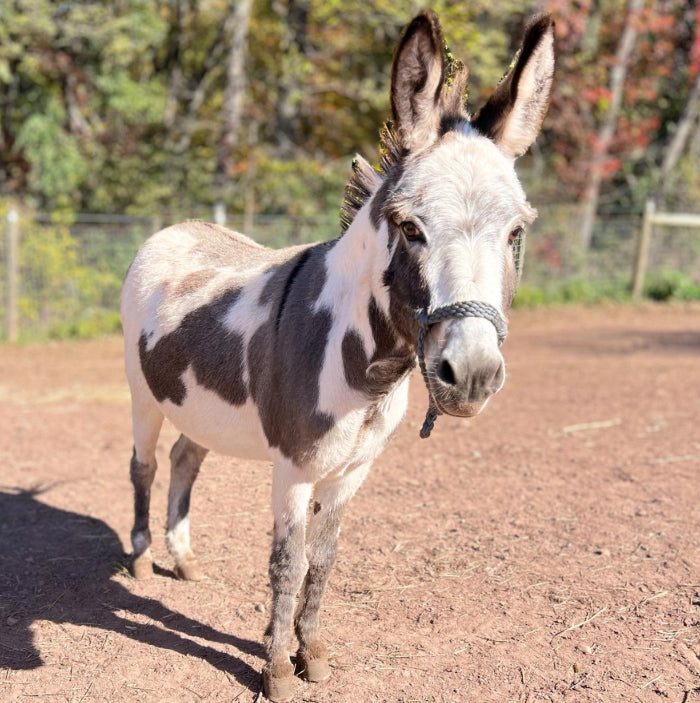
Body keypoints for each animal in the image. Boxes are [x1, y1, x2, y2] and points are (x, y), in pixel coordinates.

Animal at [120, 10, 554, 701]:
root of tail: (179, 226)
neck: (366, 371)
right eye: (410, 228)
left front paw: (313, 654)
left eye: (516, 232)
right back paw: (139, 559)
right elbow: (286, 563)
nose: (471, 376)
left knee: (186, 460)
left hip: (201, 406)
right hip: (144, 397)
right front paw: (274, 669)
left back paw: (183, 559)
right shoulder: (294, 470)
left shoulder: (353, 472)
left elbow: (322, 562)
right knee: (145, 467)